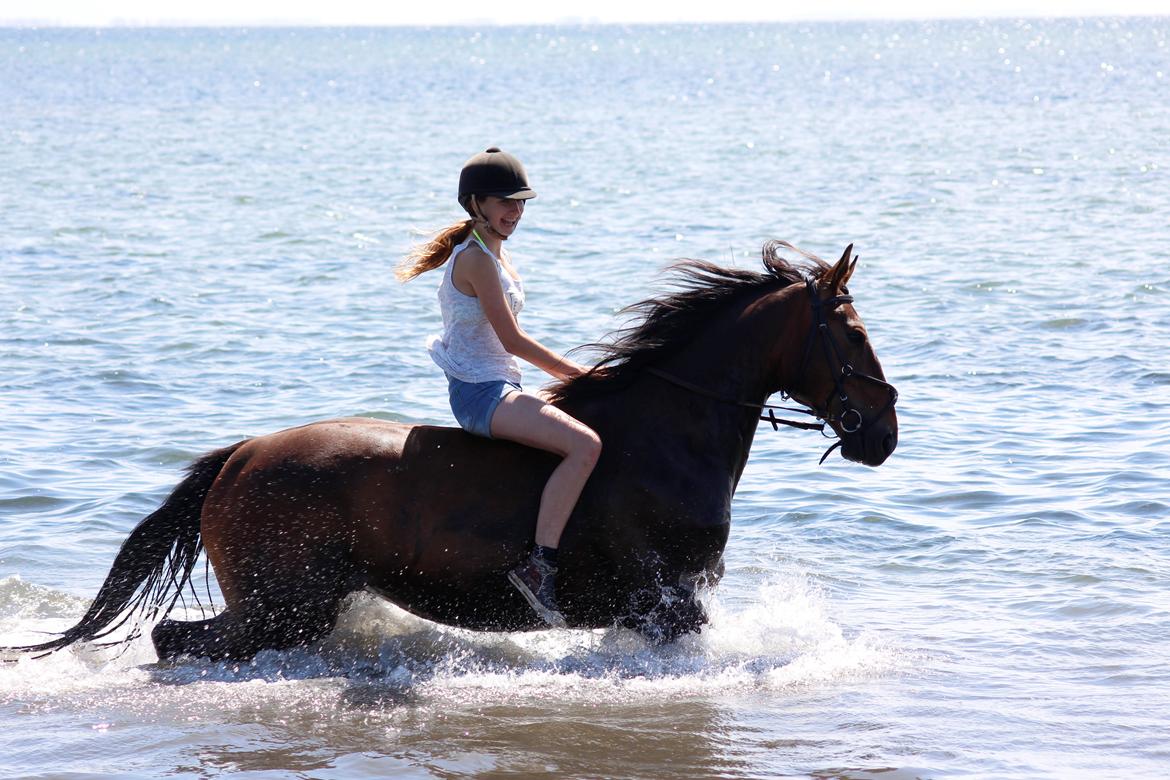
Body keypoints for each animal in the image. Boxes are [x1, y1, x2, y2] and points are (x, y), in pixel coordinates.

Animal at [9, 240, 893, 664]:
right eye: (851, 332)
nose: (883, 436)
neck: (669, 435)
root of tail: (242, 454)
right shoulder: (668, 602)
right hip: (284, 603)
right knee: (178, 640)